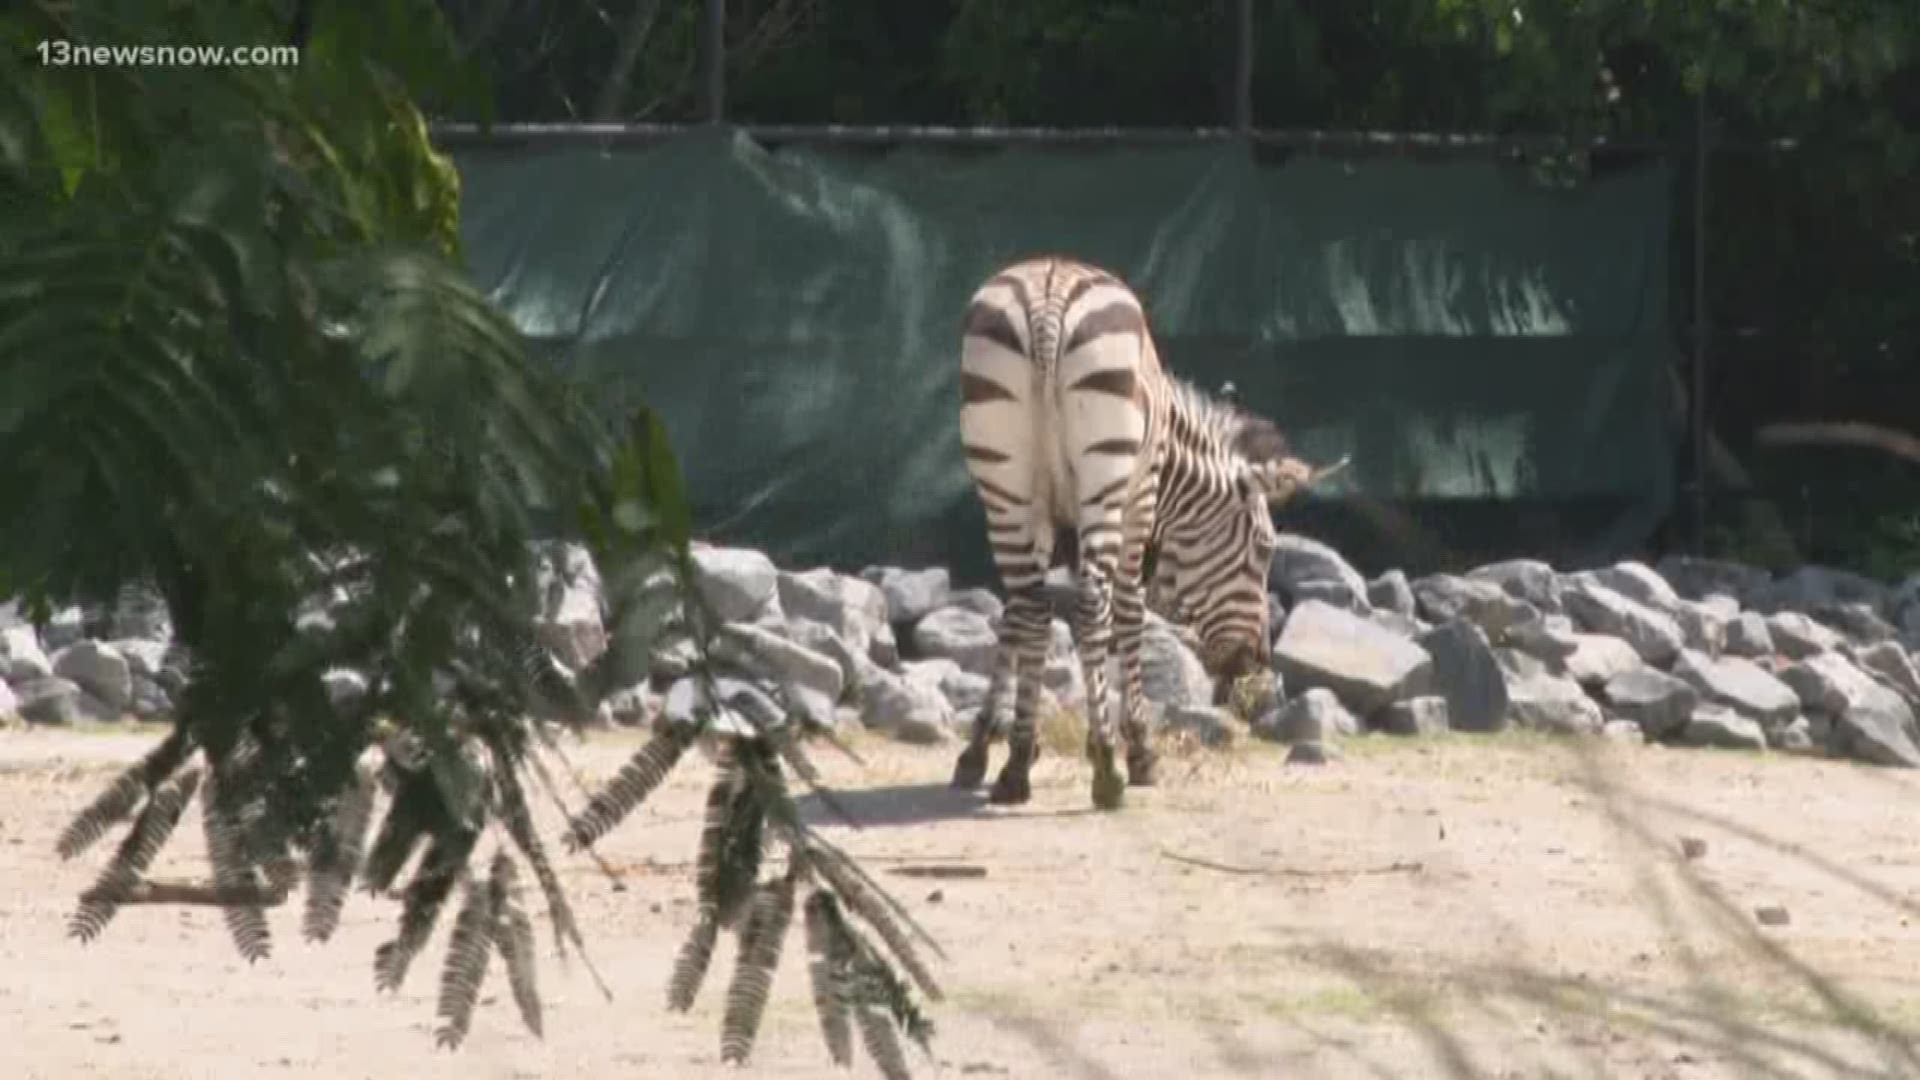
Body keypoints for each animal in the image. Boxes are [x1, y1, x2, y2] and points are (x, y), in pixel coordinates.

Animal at [948, 255, 1344, 803]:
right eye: (1264, 550)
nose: (1255, 661)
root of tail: (1049, 296)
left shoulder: (1042, 517)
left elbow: (1015, 617)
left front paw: (989, 747)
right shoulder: (1141, 501)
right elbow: (1129, 611)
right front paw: (1135, 748)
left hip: (1003, 482)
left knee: (1030, 603)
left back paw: (1016, 769)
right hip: (1106, 476)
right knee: (1093, 603)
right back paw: (1107, 772)